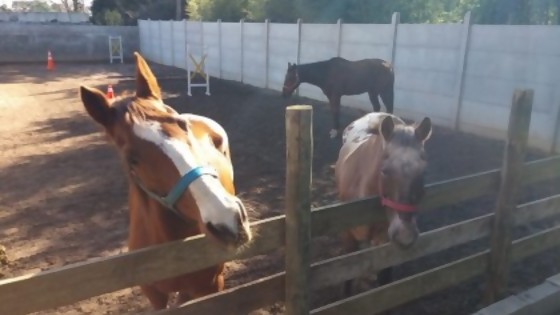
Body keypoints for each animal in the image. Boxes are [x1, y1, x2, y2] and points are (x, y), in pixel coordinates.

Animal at [334, 112, 430, 296]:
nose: (405, 236)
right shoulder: (348, 238)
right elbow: (347, 278)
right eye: (384, 171)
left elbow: (385, 278)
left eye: (424, 171)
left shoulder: (385, 241)